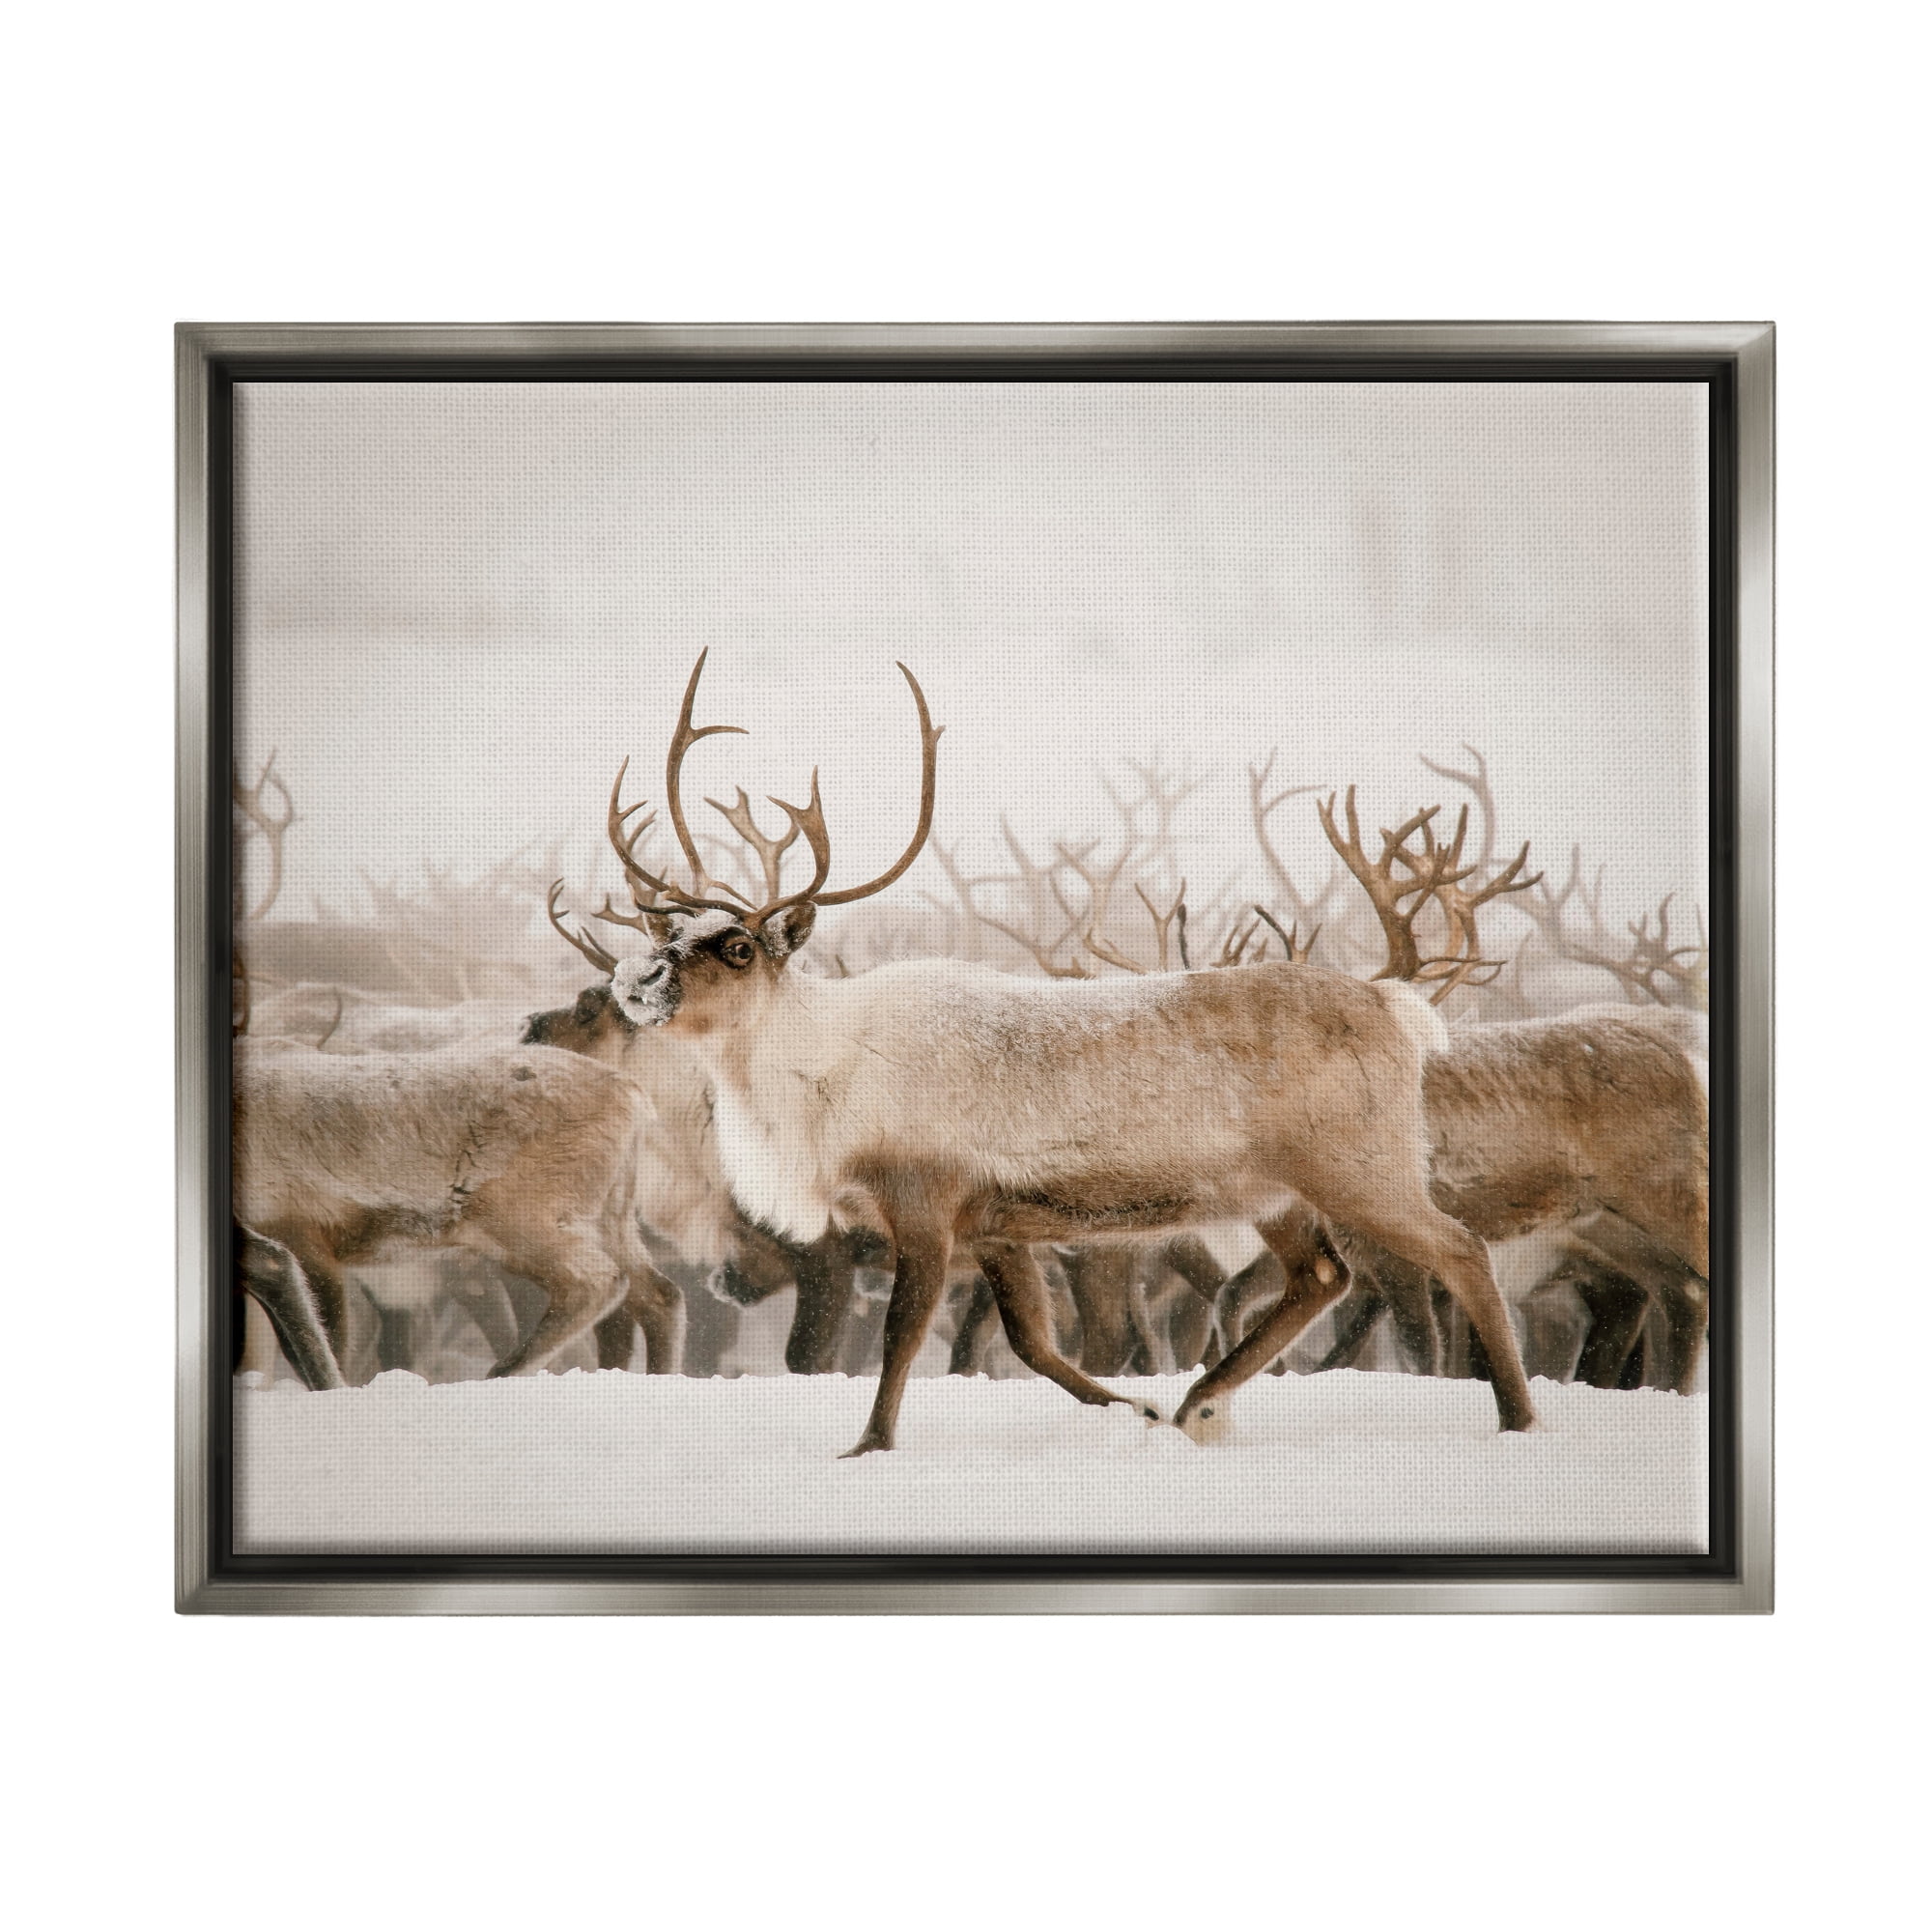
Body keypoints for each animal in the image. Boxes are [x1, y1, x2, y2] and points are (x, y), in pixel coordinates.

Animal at [592, 651, 1537, 1455]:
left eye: (737, 948)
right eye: (670, 931)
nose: (635, 978)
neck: (817, 1078)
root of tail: (1397, 1007)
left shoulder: (925, 1199)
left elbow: (903, 1334)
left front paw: (869, 1445)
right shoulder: (996, 1223)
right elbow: (1033, 1343)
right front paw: (1138, 1408)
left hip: (1360, 1165)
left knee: (1459, 1249)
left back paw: (1519, 1419)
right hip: (1275, 1189)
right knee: (1320, 1275)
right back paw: (1198, 1404)